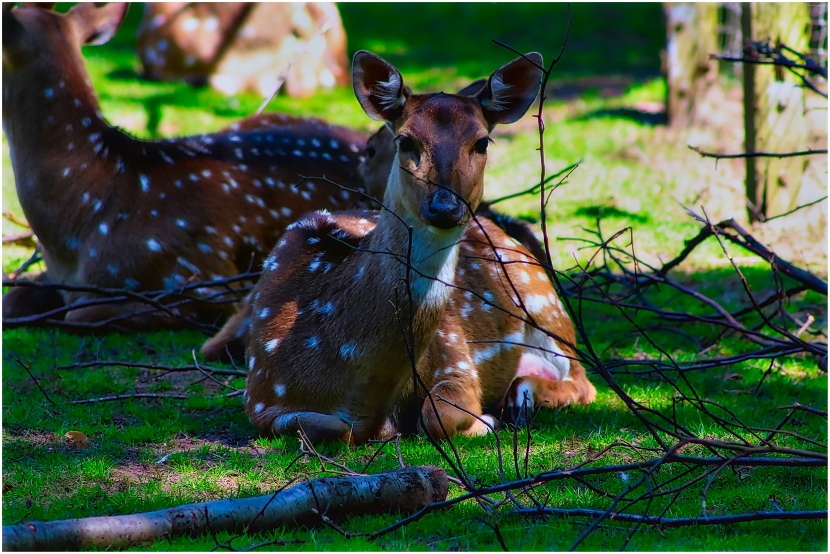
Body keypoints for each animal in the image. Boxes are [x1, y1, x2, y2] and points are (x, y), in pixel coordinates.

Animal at [204, 49, 596, 442]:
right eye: (405, 141)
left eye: (482, 141)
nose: (444, 206)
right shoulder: (259, 396)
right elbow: (324, 426)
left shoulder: (456, 358)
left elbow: (437, 416)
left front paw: (485, 420)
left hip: (545, 302)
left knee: (583, 381)